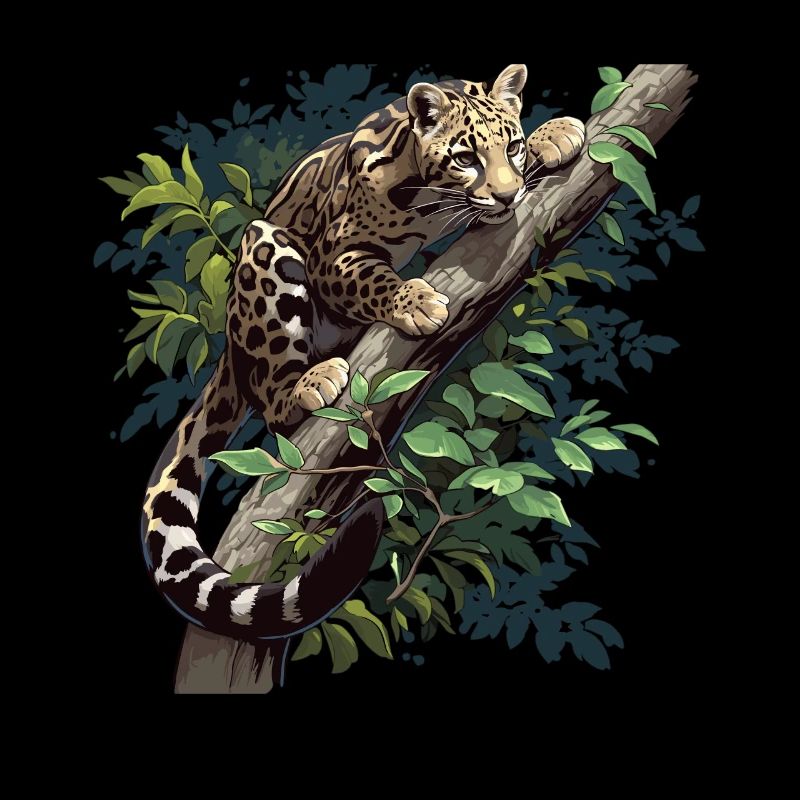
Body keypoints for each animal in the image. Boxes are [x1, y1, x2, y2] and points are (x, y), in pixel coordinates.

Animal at [141, 64, 585, 650]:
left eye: (509, 146)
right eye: (465, 157)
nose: (510, 198)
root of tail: (229, 351)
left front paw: (554, 134)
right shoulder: (333, 257)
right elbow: (372, 277)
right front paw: (416, 302)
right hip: (267, 250)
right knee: (273, 404)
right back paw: (311, 382)